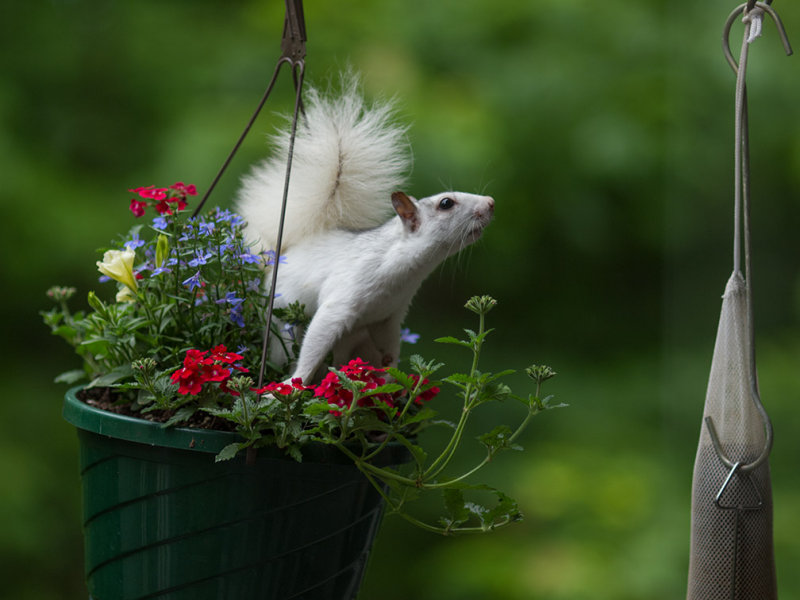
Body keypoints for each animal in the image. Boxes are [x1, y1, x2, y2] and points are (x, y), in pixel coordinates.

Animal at [234, 77, 490, 382]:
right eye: (446, 203)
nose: (490, 203)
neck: (406, 272)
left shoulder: (388, 317)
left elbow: (390, 348)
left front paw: (391, 376)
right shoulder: (342, 298)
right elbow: (316, 339)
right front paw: (294, 384)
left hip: (355, 338)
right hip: (280, 326)